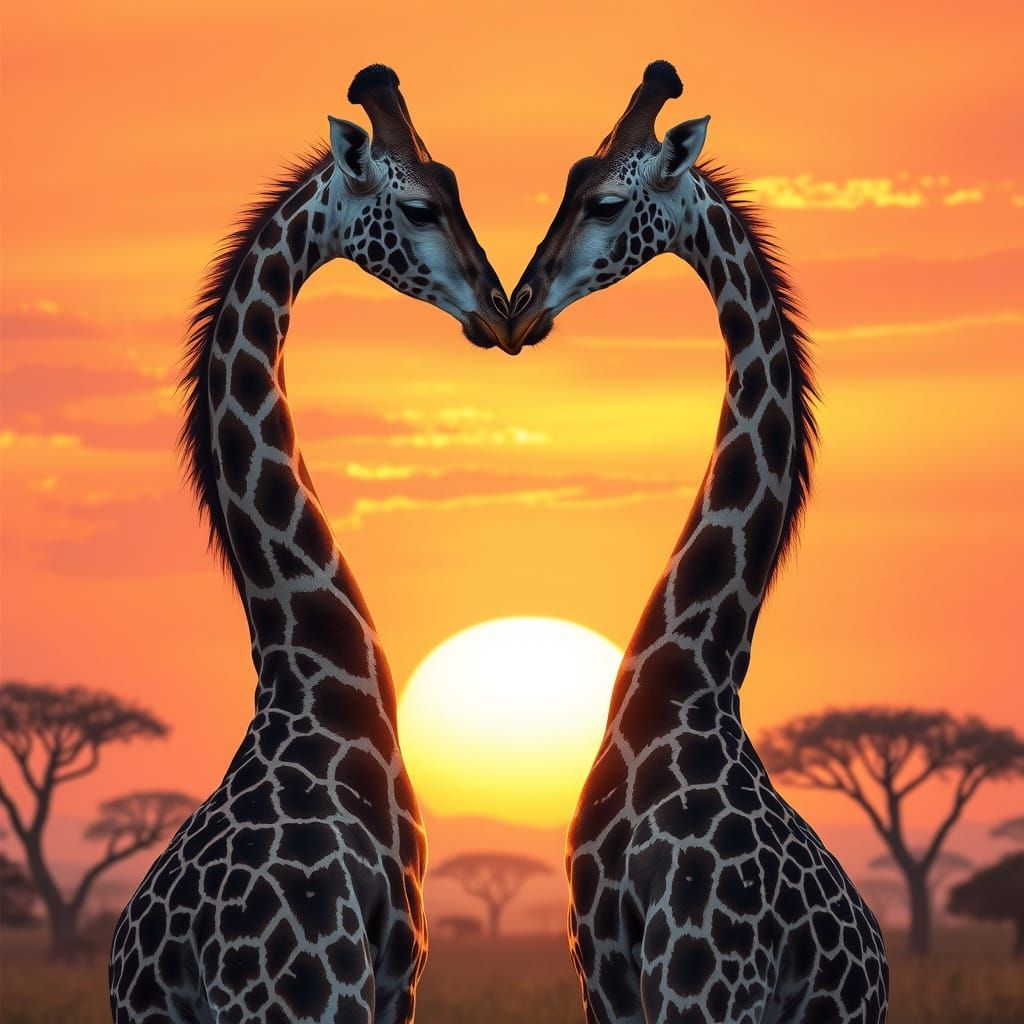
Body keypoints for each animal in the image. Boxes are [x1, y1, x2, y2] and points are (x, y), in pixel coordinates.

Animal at [508, 62, 888, 1023]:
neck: (689, 688)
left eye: (606, 200)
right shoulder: (602, 966)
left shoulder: (689, 973)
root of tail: (875, 971)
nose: (519, 310)